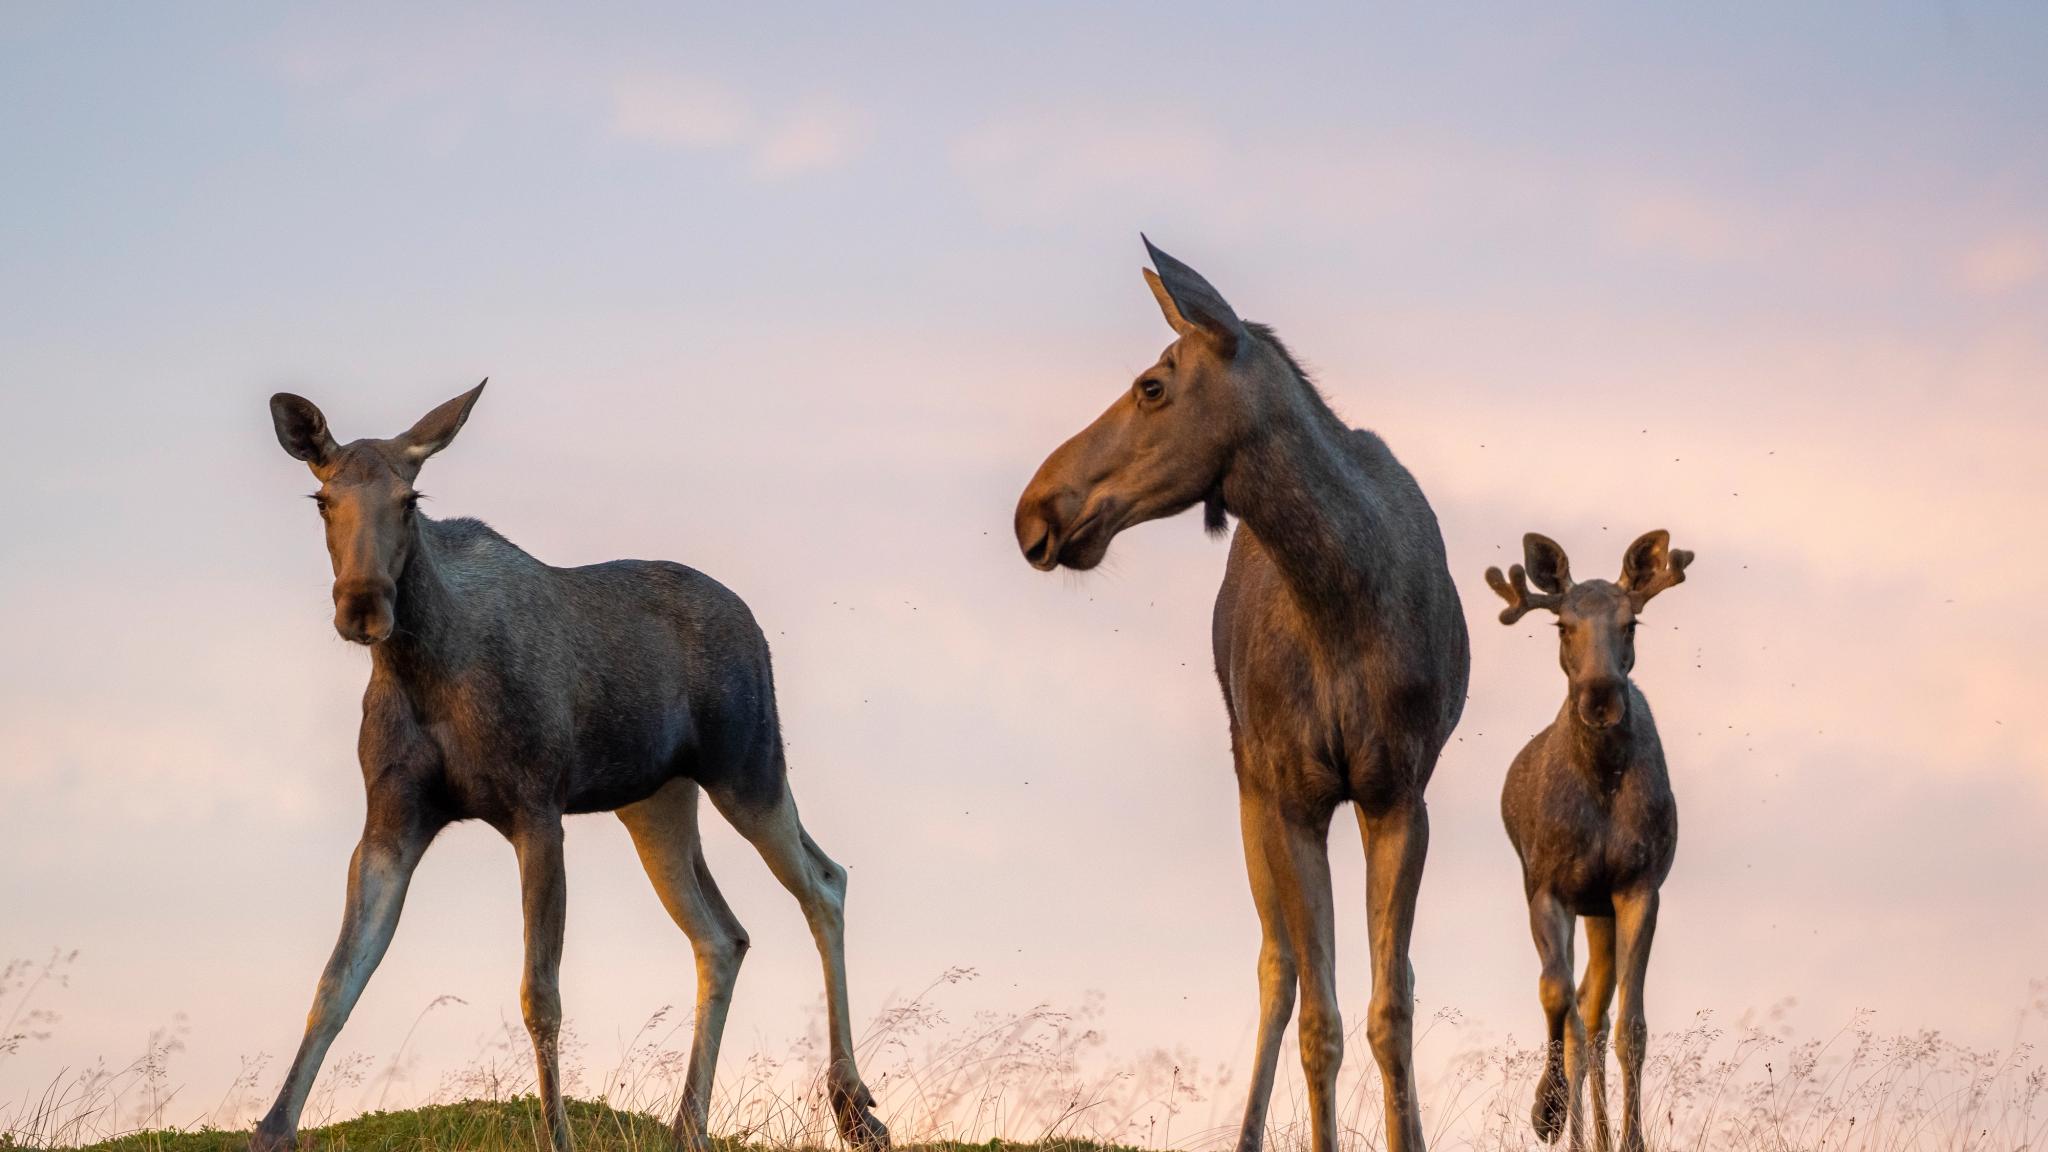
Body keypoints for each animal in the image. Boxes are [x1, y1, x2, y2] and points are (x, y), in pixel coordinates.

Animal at [251, 381, 891, 1152]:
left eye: (410, 499)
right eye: (322, 500)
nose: (363, 605)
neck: (423, 669)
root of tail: (754, 623)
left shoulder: (537, 808)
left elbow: (540, 993)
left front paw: (557, 1134)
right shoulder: (390, 819)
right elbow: (336, 981)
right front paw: (272, 1128)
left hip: (750, 766)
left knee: (825, 883)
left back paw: (854, 1107)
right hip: (656, 802)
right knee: (723, 934)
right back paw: (689, 1124)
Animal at [1014, 239, 1471, 1152]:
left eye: (1153, 384)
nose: (1033, 511)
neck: (1342, 598)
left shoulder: (1398, 794)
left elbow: (1390, 1008)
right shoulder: (1293, 795)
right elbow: (1320, 1017)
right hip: (1250, 786)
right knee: (1277, 967)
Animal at [1485, 530, 1692, 1152]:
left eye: (1631, 623)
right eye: (1562, 625)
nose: (1600, 696)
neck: (1600, 779)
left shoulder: (1638, 886)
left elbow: (1630, 1028)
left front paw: (1630, 1141)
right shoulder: (1547, 887)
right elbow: (1556, 997)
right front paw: (1545, 1111)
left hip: (1600, 908)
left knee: (1596, 1015)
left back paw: (1597, 1136)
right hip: (1579, 901)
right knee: (1579, 1014)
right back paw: (1574, 1129)